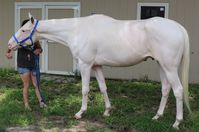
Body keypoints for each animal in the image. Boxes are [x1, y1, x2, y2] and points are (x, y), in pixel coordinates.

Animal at [7, 13, 191, 129]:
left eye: (24, 30)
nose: (9, 45)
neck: (76, 30)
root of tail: (178, 27)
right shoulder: (97, 66)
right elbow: (103, 88)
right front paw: (107, 111)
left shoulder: (85, 65)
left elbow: (85, 89)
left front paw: (80, 113)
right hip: (162, 65)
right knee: (166, 89)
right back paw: (157, 116)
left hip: (170, 67)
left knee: (178, 90)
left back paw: (177, 122)